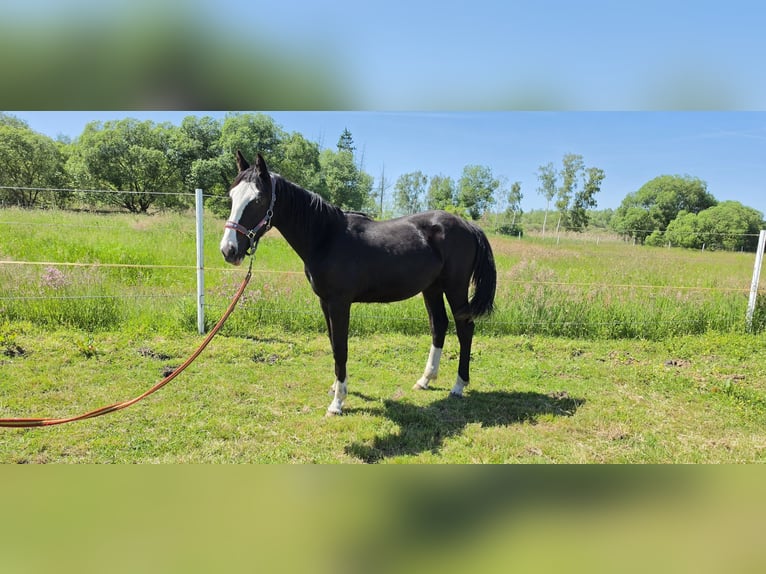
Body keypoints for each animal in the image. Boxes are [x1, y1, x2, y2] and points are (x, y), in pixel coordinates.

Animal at [220, 152, 496, 416]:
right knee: (439, 326)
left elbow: (341, 347)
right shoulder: (325, 302)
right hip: (432, 288)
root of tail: (468, 225)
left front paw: (337, 403)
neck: (326, 237)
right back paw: (425, 380)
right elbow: (333, 344)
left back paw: (458, 386)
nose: (229, 250)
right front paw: (335, 388)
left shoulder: (339, 303)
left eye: (257, 200)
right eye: (232, 196)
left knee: (464, 329)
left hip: (455, 288)